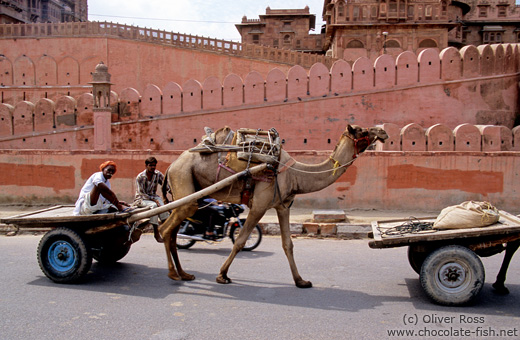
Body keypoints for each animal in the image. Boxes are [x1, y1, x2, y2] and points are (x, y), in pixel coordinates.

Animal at [160, 125, 388, 286]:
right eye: (363, 130)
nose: (383, 132)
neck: (295, 174)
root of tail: (170, 166)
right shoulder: (260, 205)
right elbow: (240, 241)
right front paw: (222, 275)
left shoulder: (283, 206)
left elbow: (288, 244)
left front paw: (301, 281)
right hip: (184, 179)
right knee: (165, 229)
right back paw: (173, 274)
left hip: (188, 191)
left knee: (173, 230)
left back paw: (183, 274)